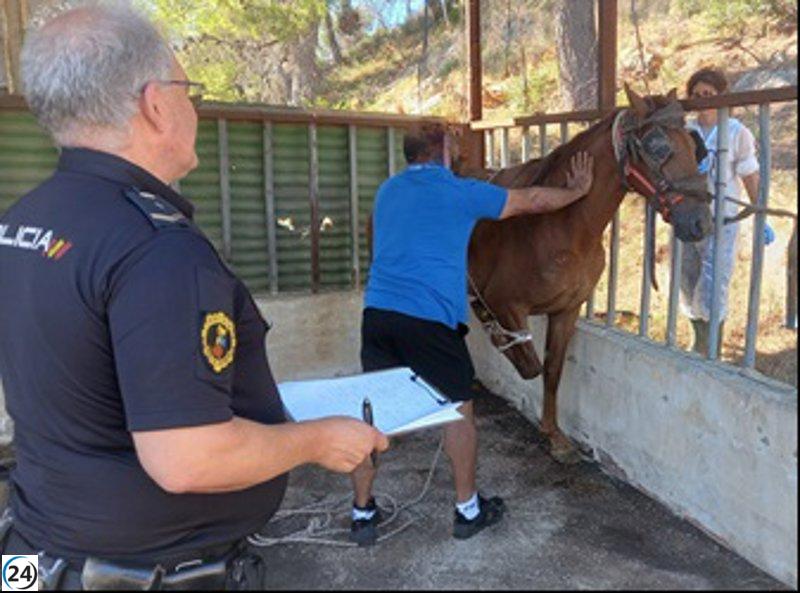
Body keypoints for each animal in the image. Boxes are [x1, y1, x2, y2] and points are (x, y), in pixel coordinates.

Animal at [462, 86, 714, 463]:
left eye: (693, 144)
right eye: (657, 146)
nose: (701, 222)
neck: (562, 227)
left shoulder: (566, 310)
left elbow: (552, 369)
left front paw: (554, 436)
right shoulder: (505, 303)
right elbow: (530, 363)